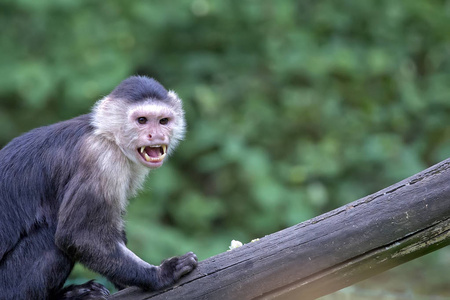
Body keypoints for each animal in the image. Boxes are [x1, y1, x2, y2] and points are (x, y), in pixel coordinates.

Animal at [0, 77, 199, 300]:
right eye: (142, 120)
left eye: (163, 121)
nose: (155, 134)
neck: (107, 136)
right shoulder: (101, 157)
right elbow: (78, 236)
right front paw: (160, 275)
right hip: (8, 287)